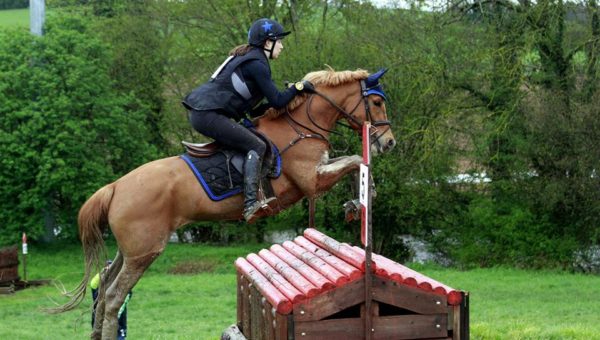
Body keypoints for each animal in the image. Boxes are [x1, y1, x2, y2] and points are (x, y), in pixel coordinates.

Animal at [54, 67, 396, 338]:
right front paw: (362, 198)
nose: (389, 142)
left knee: (104, 289)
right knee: (114, 297)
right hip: (144, 252)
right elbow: (356, 160)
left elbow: (353, 161)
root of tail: (114, 188)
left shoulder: (318, 173)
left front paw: (356, 202)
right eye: (377, 102)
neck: (300, 126)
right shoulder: (311, 180)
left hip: (130, 252)